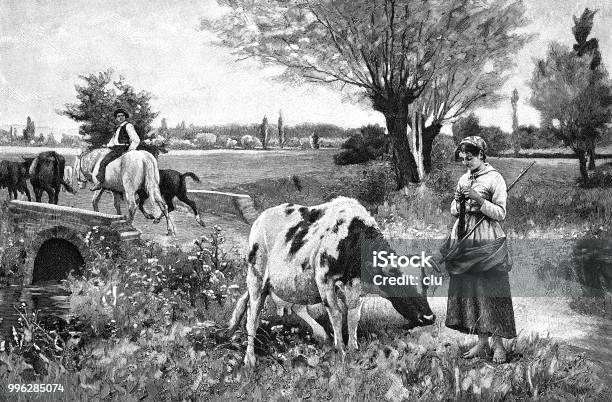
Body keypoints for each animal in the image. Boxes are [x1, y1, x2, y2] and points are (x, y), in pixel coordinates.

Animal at [225, 196, 436, 370]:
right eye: (399, 283)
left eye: (426, 284)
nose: (429, 318)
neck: (350, 237)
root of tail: (261, 217)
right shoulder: (324, 280)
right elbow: (336, 314)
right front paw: (340, 350)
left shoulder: (356, 285)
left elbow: (353, 316)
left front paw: (353, 347)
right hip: (256, 277)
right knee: (252, 318)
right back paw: (250, 359)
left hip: (292, 283)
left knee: (294, 307)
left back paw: (320, 334)